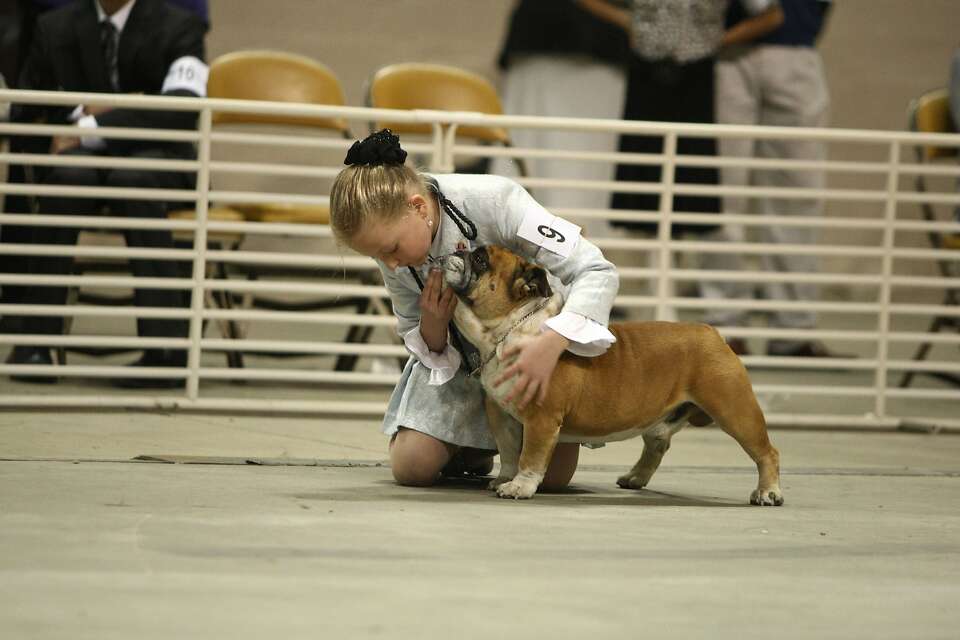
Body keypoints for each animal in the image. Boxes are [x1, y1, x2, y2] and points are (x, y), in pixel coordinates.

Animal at [438, 245, 784, 504]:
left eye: (481, 260)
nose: (457, 249)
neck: (510, 329)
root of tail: (711, 333)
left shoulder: (541, 419)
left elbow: (530, 457)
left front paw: (520, 486)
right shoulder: (502, 415)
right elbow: (510, 452)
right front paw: (504, 479)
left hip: (734, 409)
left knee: (766, 451)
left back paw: (768, 493)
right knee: (657, 443)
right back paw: (635, 478)